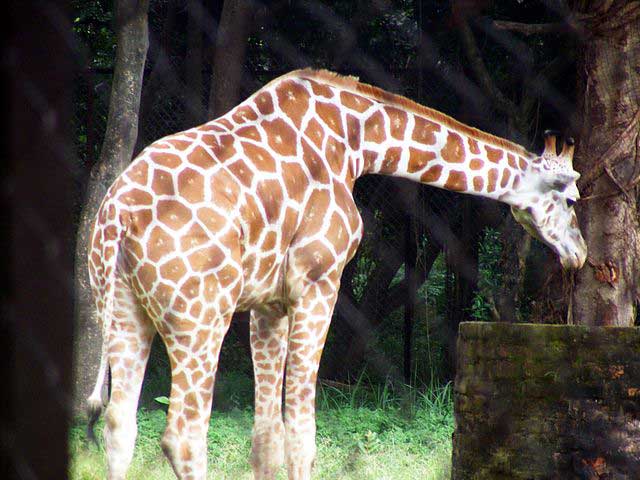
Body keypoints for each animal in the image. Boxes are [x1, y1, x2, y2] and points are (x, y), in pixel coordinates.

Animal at [87, 68, 588, 480]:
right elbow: (302, 436)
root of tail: (116, 219)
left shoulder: (268, 302)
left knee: (119, 425)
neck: (357, 141)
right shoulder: (317, 282)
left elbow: (266, 440)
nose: (579, 255)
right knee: (184, 436)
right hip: (200, 316)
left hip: (124, 312)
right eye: (571, 200)